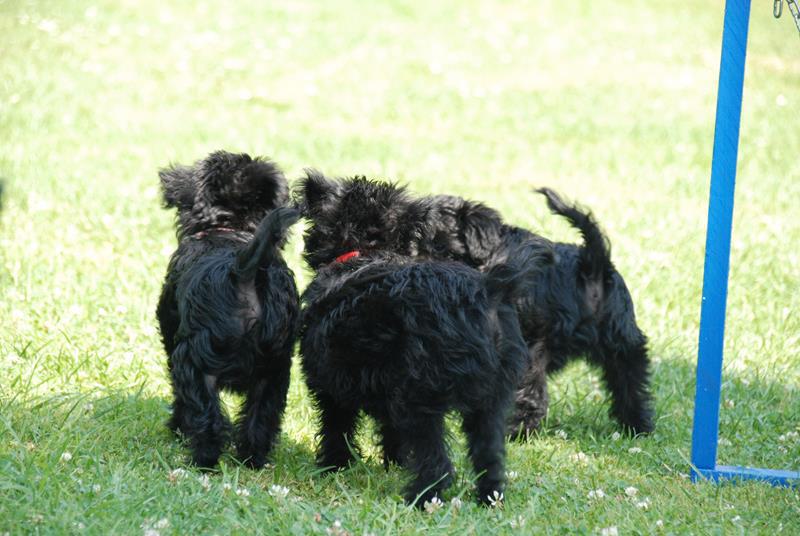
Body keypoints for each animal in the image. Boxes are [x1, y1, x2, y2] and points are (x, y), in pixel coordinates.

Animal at [156, 151, 300, 468]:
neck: (230, 228)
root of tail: (243, 268)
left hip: (194, 362)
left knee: (207, 417)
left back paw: (202, 460)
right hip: (274, 369)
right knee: (262, 416)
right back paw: (252, 459)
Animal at [296, 172, 553, 506]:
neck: (363, 254)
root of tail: (489, 291)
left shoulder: (330, 382)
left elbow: (335, 427)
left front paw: (333, 465)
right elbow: (390, 432)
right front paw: (393, 462)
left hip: (419, 396)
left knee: (438, 462)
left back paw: (420, 498)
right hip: (491, 400)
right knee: (489, 454)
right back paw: (489, 497)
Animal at [415, 188, 654, 437]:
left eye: (446, 252)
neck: (492, 254)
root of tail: (591, 267)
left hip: (534, 350)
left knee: (532, 392)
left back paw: (517, 431)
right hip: (622, 337)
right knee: (630, 379)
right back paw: (637, 425)